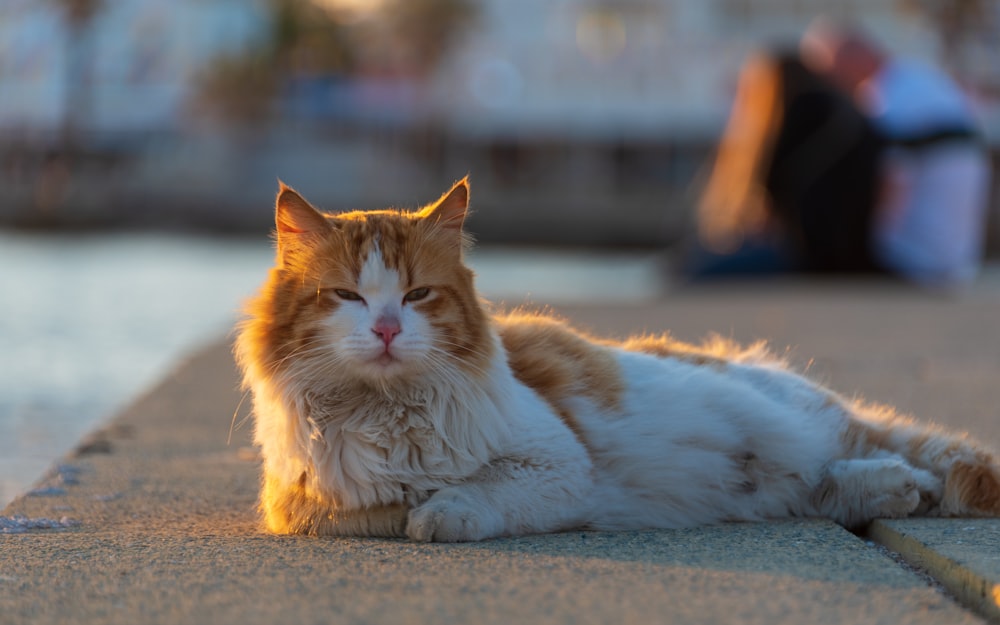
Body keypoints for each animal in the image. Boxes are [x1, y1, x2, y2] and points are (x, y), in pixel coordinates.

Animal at [236, 177, 1000, 540]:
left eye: (418, 294)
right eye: (346, 296)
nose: (390, 330)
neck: (386, 413)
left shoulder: (555, 464)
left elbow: (470, 493)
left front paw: (439, 511)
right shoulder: (302, 503)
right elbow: (377, 506)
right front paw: (411, 504)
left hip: (794, 427)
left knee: (859, 455)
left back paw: (905, 483)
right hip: (790, 476)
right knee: (836, 482)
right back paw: (899, 488)